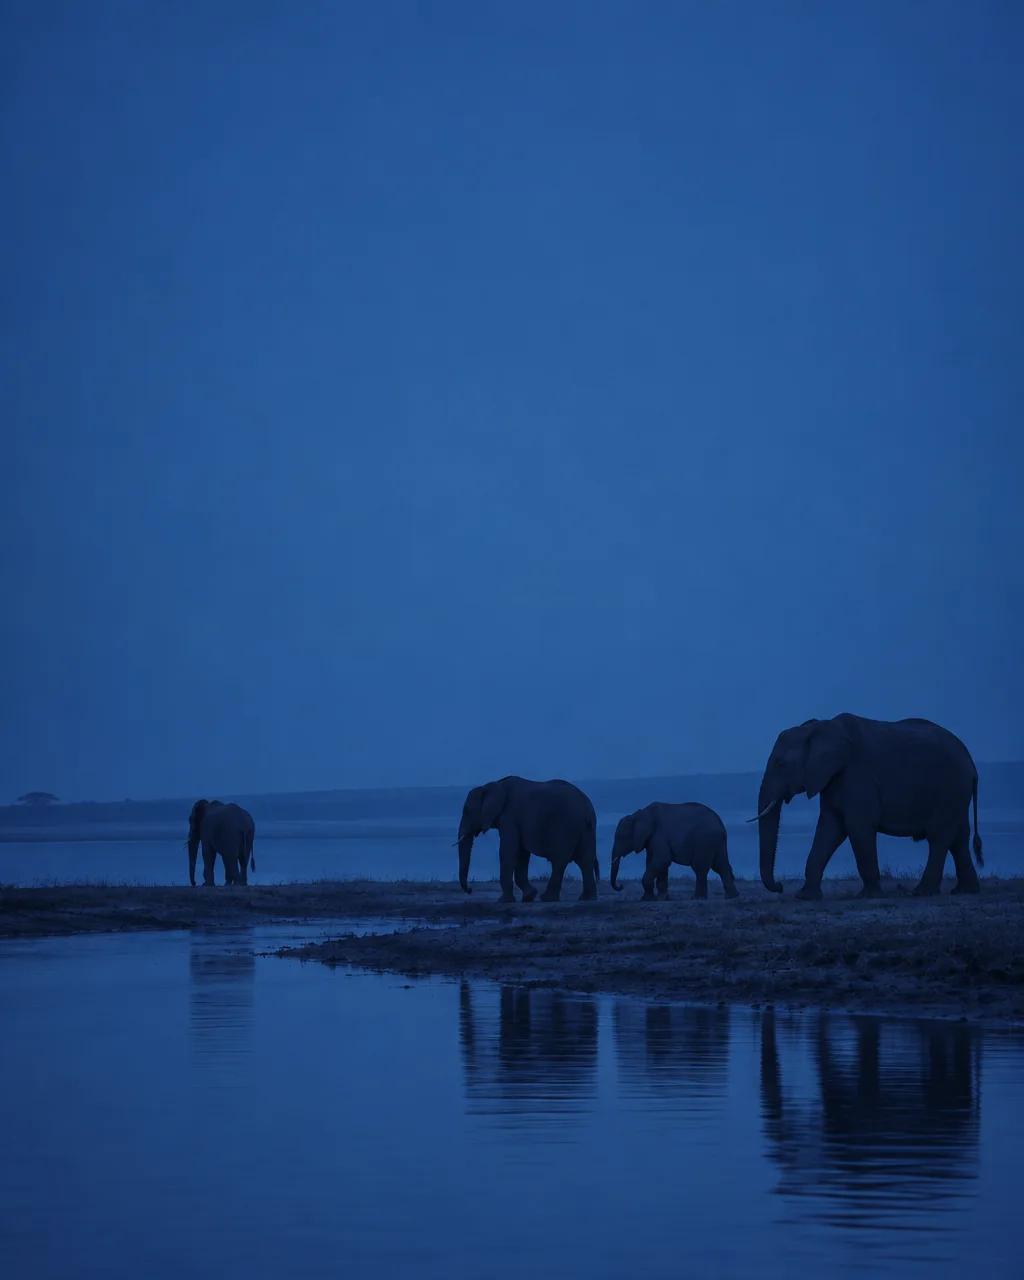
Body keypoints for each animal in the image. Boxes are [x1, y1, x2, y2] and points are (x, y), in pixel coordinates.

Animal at [457, 776, 598, 903]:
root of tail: (588, 808)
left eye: (467, 810)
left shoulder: (510, 817)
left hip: (566, 828)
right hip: (586, 830)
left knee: (559, 861)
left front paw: (503, 901)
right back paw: (587, 898)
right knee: (584, 860)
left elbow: (509, 850)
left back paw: (547, 898)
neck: (493, 785)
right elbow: (521, 854)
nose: (470, 890)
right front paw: (529, 897)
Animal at [610, 802, 739, 899]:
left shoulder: (659, 835)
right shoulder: (651, 839)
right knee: (721, 866)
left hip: (705, 841)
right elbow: (654, 861)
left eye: (621, 837)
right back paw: (732, 896)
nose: (621, 886)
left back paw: (697, 898)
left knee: (700, 868)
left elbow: (662, 860)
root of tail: (722, 826)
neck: (639, 814)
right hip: (716, 843)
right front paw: (658, 898)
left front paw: (649, 899)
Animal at [753, 714, 983, 900]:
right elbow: (829, 829)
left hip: (950, 789)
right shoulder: (831, 779)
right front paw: (805, 897)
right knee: (959, 838)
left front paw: (869, 896)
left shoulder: (858, 776)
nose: (780, 887)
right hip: (957, 794)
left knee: (939, 836)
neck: (821, 728)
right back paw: (965, 891)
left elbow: (857, 827)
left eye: (781, 765)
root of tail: (972, 764)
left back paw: (922, 892)